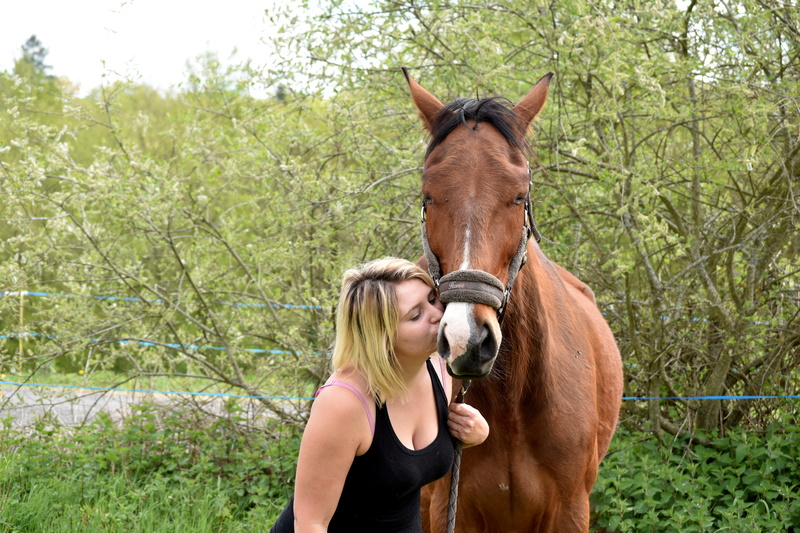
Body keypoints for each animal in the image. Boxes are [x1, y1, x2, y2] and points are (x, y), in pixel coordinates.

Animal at [404, 67, 620, 532]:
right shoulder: (449, 509)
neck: (511, 405)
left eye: (519, 196)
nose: (467, 340)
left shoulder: (571, 510)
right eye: (428, 197)